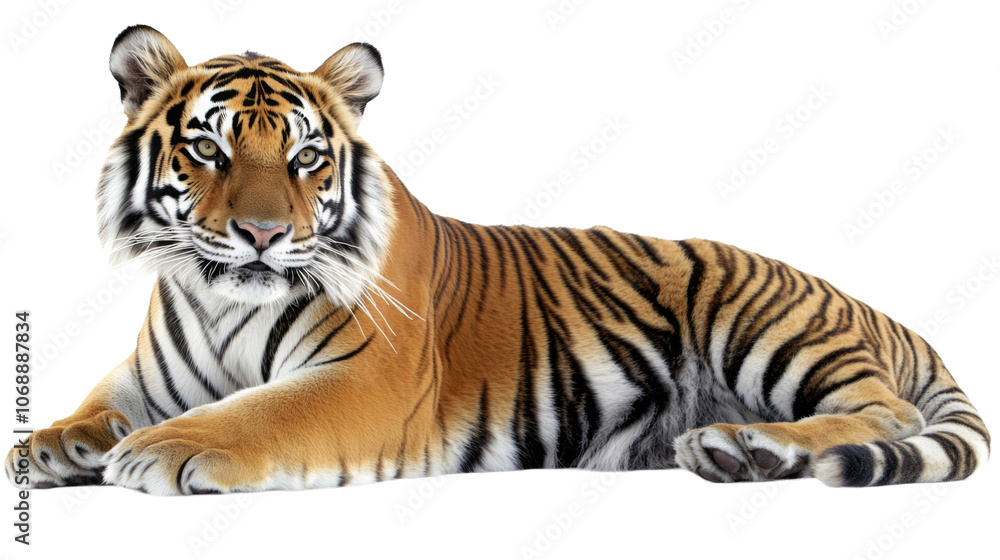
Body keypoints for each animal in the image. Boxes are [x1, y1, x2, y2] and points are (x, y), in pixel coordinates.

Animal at [5, 25, 989, 496]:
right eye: (209, 151)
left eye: (305, 158)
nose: (260, 235)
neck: (222, 300)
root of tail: (875, 310)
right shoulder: (151, 371)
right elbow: (101, 401)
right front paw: (51, 444)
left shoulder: (367, 381)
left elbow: (257, 413)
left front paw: (161, 451)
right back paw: (728, 451)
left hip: (759, 320)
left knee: (886, 410)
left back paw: (750, 444)